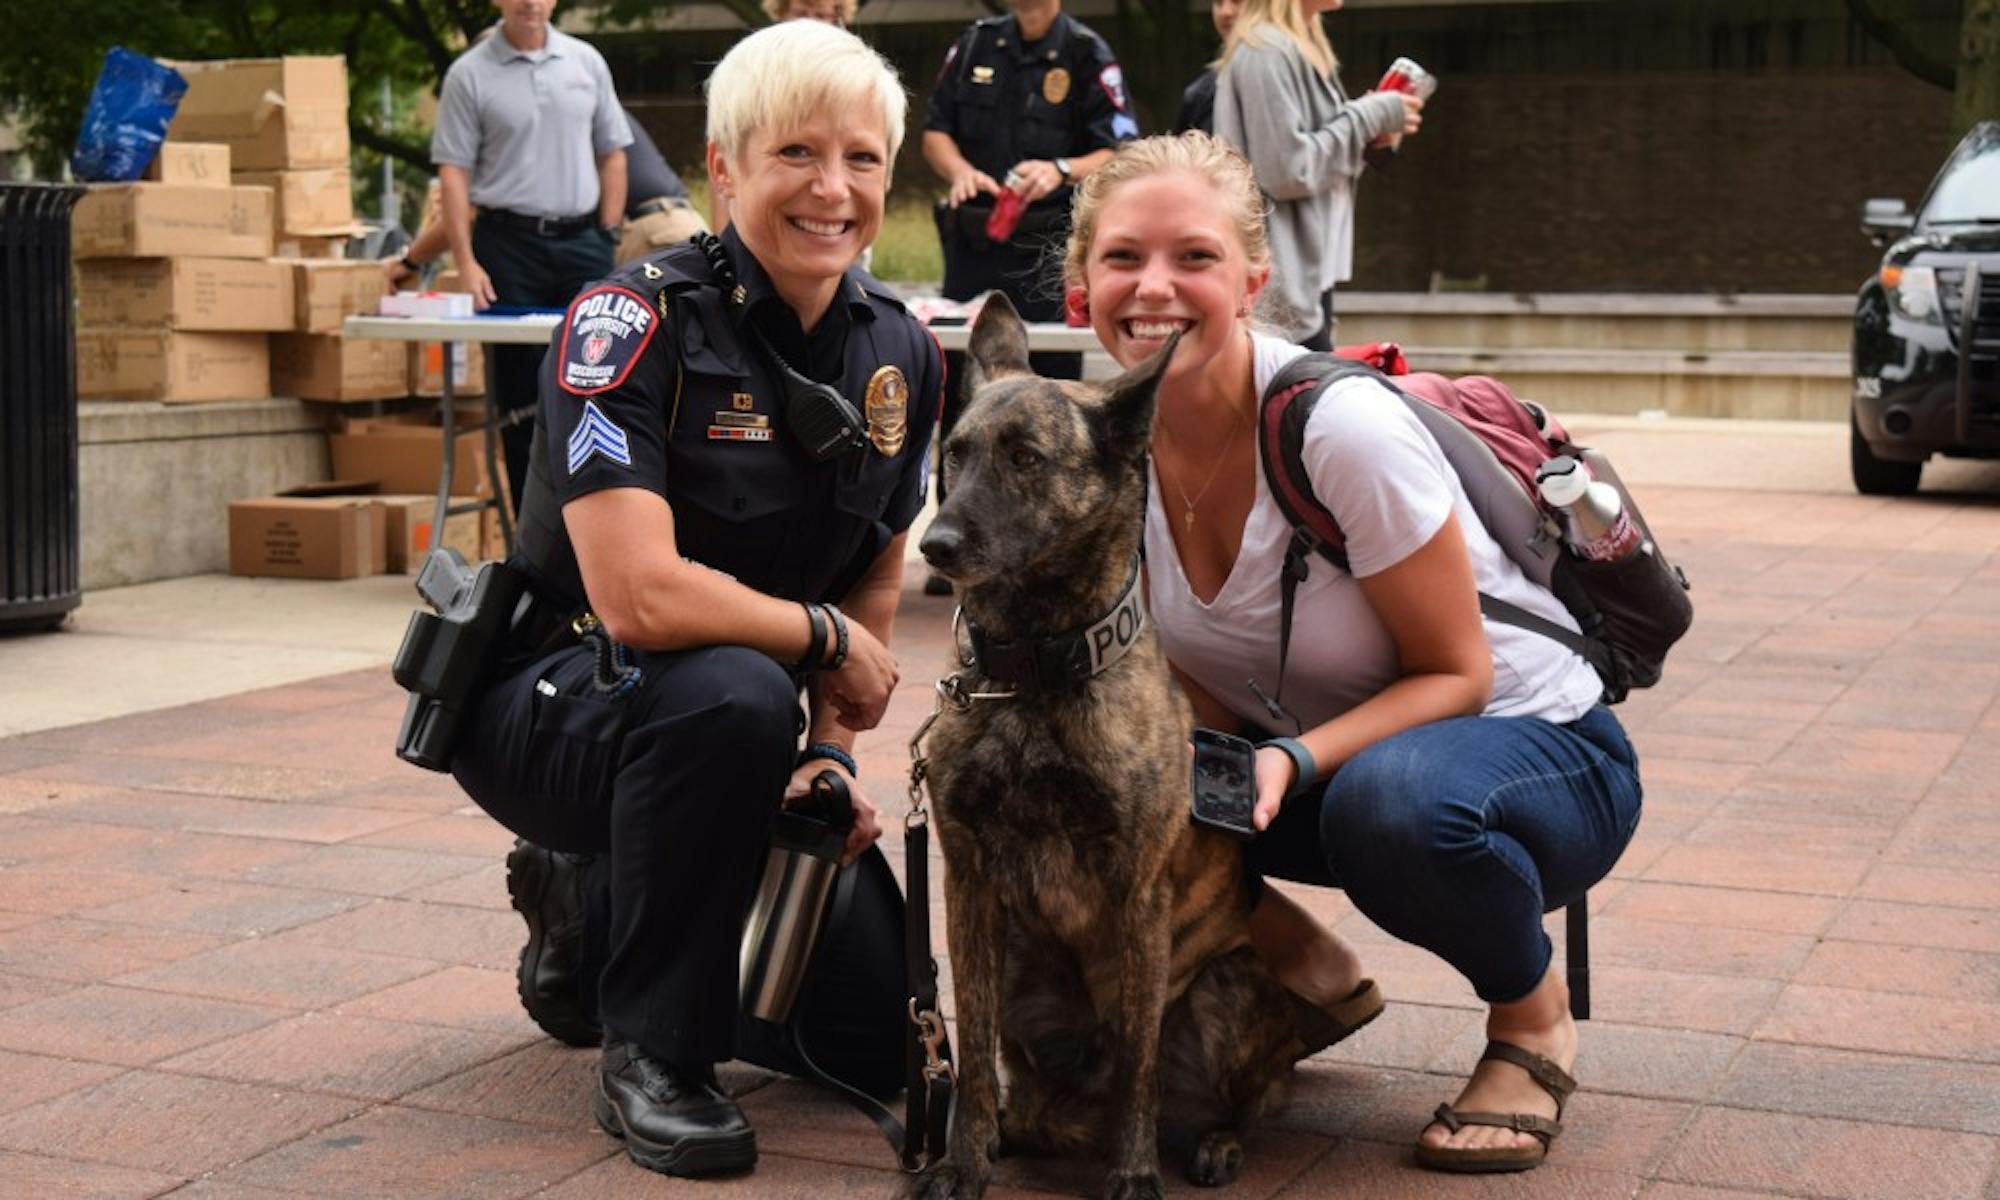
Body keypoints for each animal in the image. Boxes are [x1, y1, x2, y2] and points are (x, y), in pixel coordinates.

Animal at [908, 292, 1296, 1200]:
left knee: (1247, 1095)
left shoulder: (1137, 890)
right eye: (955, 452)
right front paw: (963, 1161)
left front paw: (1132, 1171)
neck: (1031, 673)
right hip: (1020, 960)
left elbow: (1138, 1061)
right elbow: (970, 1048)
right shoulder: (967, 879)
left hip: (1235, 983)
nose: (935, 548)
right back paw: (1015, 1132)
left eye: (1026, 457)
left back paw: (1213, 1143)